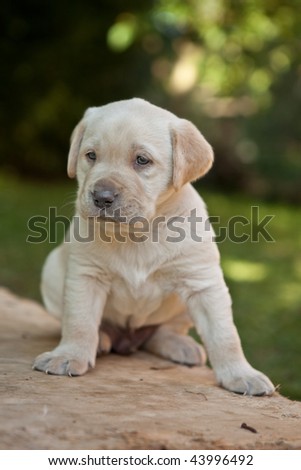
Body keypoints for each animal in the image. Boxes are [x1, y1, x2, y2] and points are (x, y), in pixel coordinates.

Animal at [33, 99, 274, 396]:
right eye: (91, 156)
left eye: (142, 160)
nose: (101, 197)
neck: (140, 232)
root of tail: (128, 340)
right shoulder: (85, 275)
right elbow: (79, 322)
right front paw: (68, 355)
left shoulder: (203, 283)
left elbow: (224, 335)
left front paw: (241, 373)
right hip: (52, 271)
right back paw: (102, 339)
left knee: (162, 331)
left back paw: (179, 345)